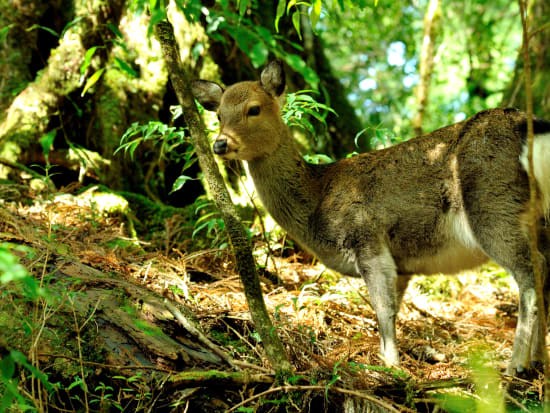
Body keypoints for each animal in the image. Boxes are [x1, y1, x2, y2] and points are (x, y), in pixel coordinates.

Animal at [193, 60, 550, 374]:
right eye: (219, 114)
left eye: (254, 108)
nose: (220, 143)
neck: (317, 202)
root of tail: (528, 126)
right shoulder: (403, 262)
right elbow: (391, 309)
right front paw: (382, 359)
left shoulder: (365, 237)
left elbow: (382, 308)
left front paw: (391, 367)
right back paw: (537, 363)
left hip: (493, 205)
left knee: (530, 277)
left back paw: (515, 365)